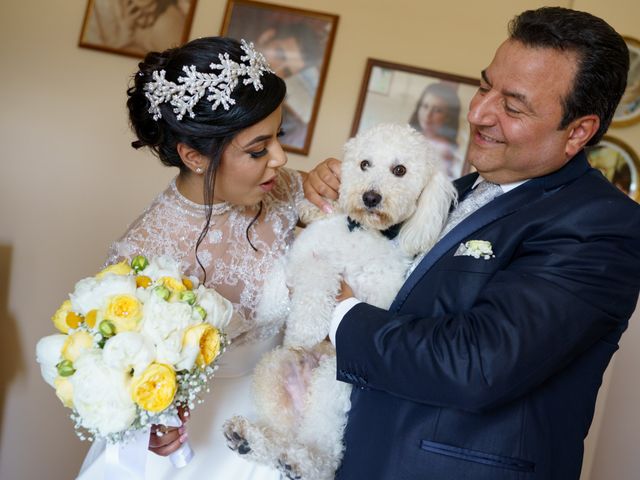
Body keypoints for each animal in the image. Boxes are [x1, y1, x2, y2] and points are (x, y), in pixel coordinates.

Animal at [224, 124, 456, 480]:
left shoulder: (375, 297)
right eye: (364, 164)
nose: (370, 197)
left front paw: (306, 329)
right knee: (280, 435)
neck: (361, 231)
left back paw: (302, 463)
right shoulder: (302, 257)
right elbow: (307, 279)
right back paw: (251, 440)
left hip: (332, 383)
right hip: (273, 370)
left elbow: (331, 285)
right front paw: (285, 323)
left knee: (326, 450)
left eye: (400, 170)